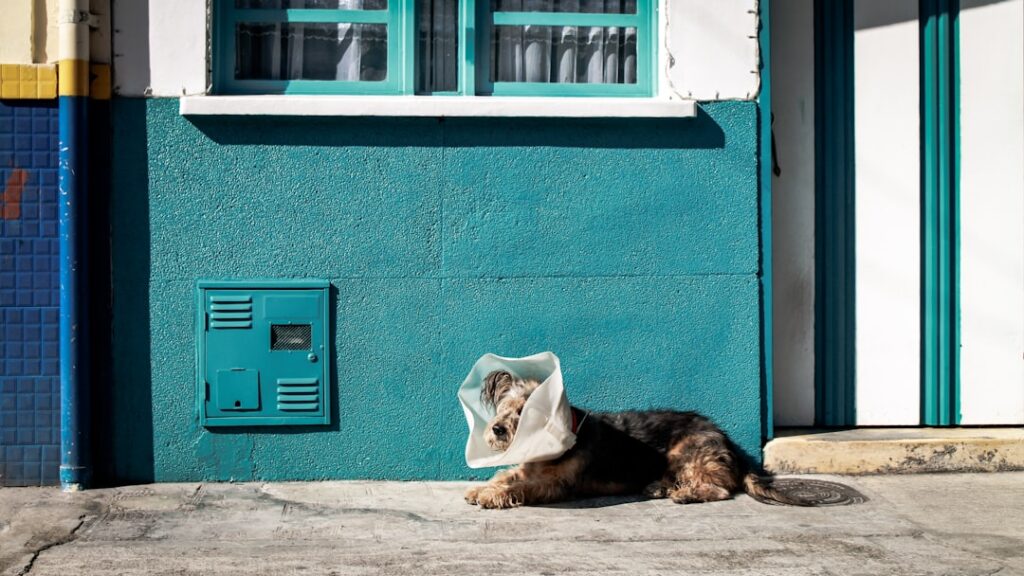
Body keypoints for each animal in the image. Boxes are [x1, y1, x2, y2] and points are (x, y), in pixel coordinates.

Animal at [466, 366, 806, 506]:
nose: (497, 428)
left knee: (720, 489)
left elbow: (521, 486)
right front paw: (483, 488)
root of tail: (727, 440)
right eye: (506, 407)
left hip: (685, 451)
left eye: (527, 412)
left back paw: (686, 493)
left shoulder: (556, 484)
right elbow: (507, 475)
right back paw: (659, 487)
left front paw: (490, 496)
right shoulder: (529, 468)